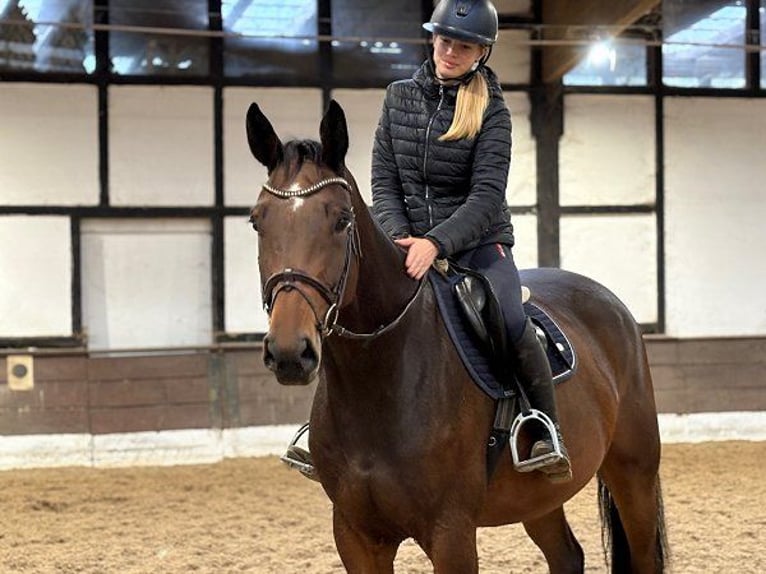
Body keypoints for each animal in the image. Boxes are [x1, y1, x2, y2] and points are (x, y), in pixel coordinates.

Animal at [245, 99, 668, 573]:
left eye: (341, 220)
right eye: (257, 221)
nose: (289, 352)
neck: (379, 380)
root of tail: (613, 306)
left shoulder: (451, 533)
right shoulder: (356, 536)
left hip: (633, 473)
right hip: (538, 497)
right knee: (566, 555)